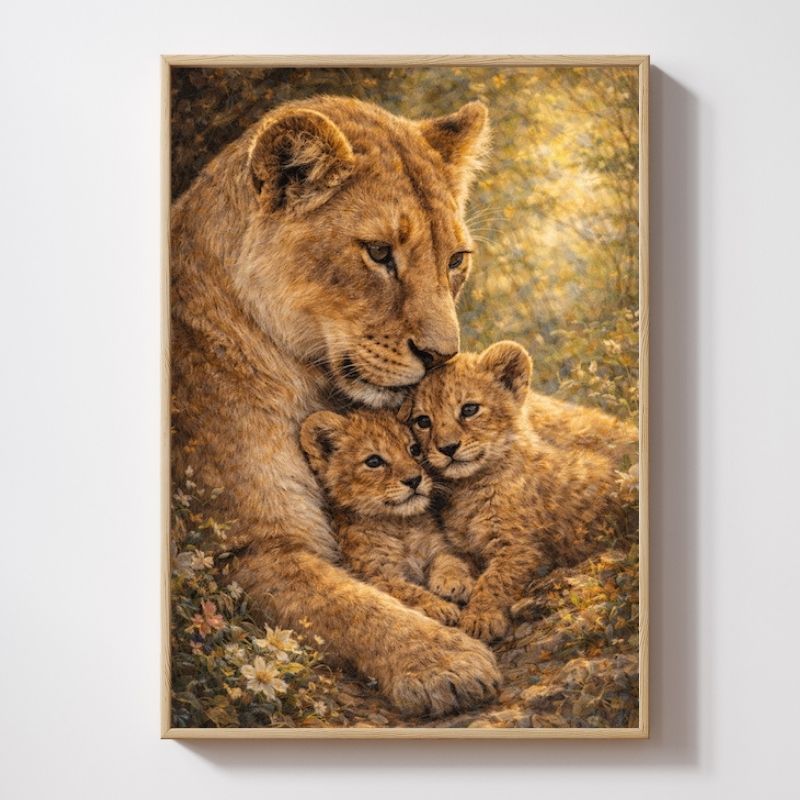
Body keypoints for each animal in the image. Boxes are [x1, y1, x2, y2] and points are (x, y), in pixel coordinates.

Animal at [170, 94, 635, 717]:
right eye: (378, 253)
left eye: (456, 259)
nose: (443, 354)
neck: (317, 381)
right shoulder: (240, 548)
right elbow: (348, 602)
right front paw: (443, 662)